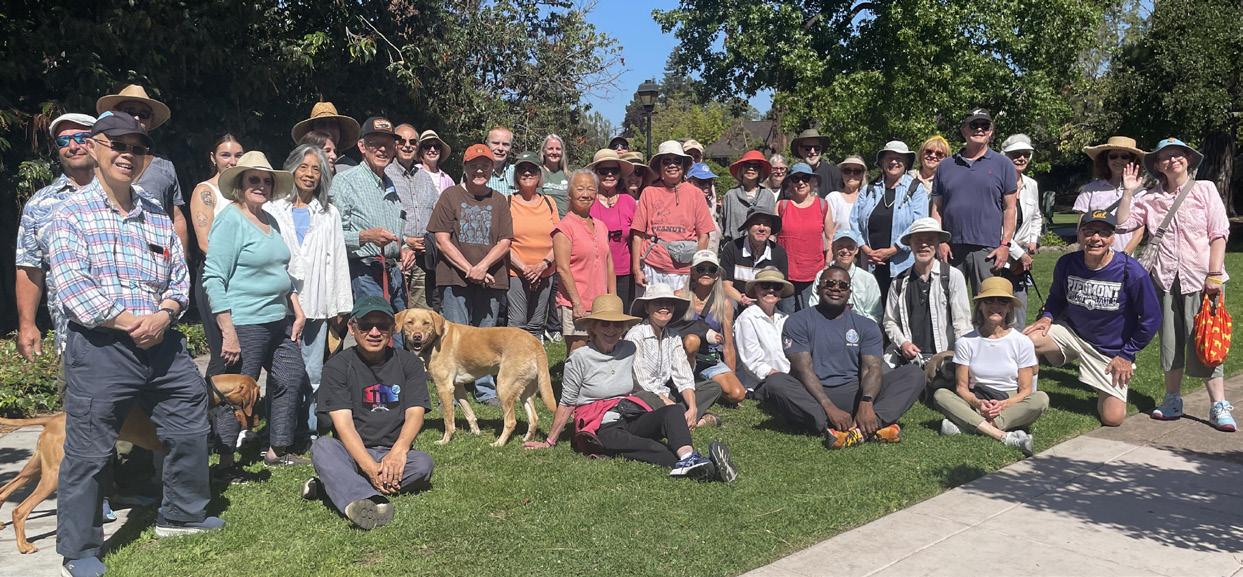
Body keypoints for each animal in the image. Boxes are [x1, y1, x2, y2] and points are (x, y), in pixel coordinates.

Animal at [0, 374, 259, 554]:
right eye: (255, 399)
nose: (256, 421)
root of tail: (51, 419)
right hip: (53, 476)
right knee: (20, 509)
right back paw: (24, 546)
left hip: (35, 468)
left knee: (5, 490)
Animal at [395, 308, 556, 447]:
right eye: (409, 322)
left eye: (426, 323)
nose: (417, 336)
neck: (437, 339)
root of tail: (536, 342)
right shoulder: (458, 387)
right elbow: (469, 413)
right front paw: (476, 433)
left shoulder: (444, 388)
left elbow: (448, 420)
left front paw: (445, 441)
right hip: (524, 391)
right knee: (534, 418)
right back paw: (526, 440)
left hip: (503, 387)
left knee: (511, 422)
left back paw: (499, 443)